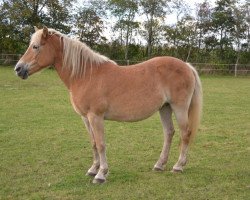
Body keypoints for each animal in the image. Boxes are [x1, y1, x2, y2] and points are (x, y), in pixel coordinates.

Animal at [14, 27, 202, 184]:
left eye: (36, 47)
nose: (18, 69)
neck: (85, 75)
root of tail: (186, 66)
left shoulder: (95, 117)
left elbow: (101, 144)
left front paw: (101, 174)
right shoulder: (86, 118)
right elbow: (93, 143)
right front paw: (93, 169)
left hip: (179, 108)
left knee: (185, 134)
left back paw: (178, 166)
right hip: (165, 108)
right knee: (169, 133)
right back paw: (159, 165)